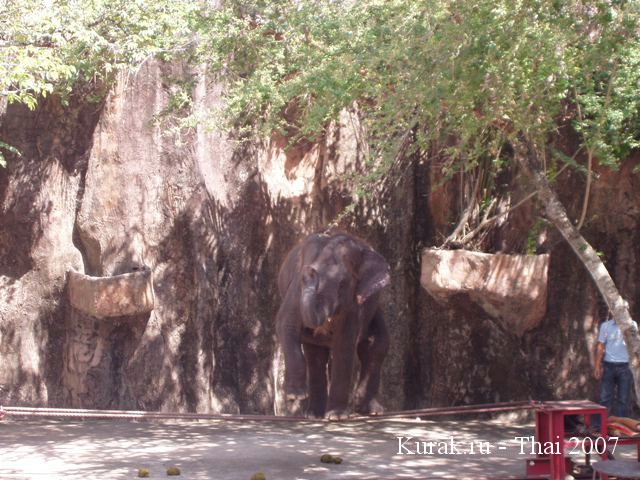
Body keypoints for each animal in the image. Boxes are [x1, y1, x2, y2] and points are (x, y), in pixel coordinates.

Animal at [275, 229, 391, 420]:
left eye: (342, 284)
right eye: (302, 277)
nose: (310, 273)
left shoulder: (353, 303)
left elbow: (344, 345)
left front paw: (337, 416)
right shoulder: (294, 290)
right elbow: (286, 324)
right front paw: (295, 396)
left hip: (375, 311)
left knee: (375, 347)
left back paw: (369, 410)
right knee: (315, 356)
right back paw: (313, 414)